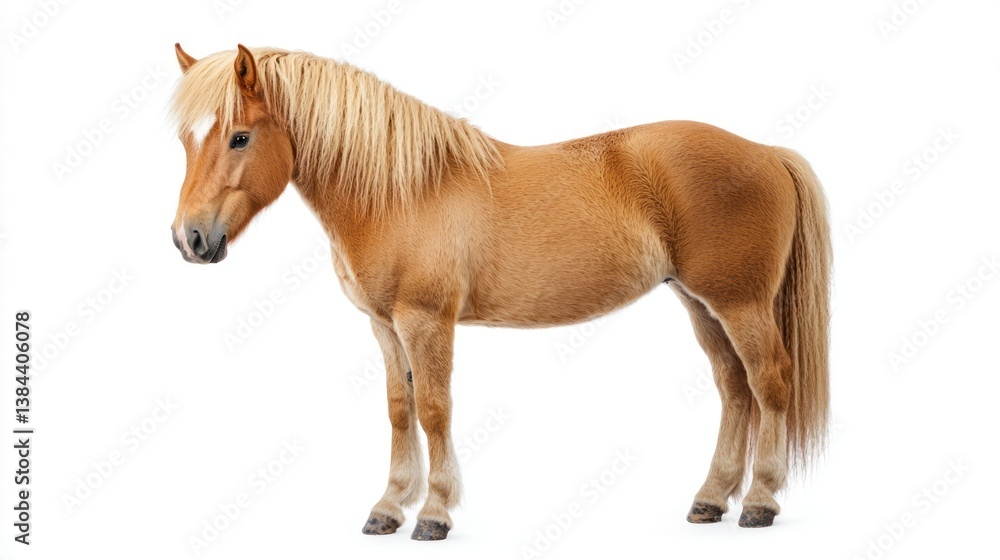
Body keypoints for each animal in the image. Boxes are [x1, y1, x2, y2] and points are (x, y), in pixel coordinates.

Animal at [168, 44, 831, 540]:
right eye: (185, 140)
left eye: (239, 138)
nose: (190, 239)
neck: (400, 189)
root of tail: (766, 152)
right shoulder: (384, 326)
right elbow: (399, 409)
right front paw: (388, 508)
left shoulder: (425, 321)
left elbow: (434, 409)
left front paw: (433, 514)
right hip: (700, 305)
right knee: (735, 389)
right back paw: (711, 500)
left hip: (739, 304)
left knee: (770, 382)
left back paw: (760, 503)